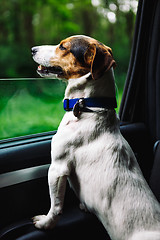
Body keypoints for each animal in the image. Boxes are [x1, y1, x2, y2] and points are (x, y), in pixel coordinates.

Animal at [31, 35, 160, 240]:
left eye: (63, 47)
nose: (33, 49)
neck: (88, 106)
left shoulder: (57, 168)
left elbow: (56, 205)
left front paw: (46, 223)